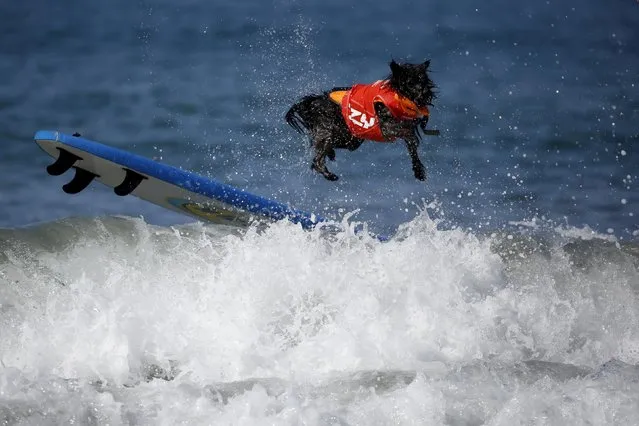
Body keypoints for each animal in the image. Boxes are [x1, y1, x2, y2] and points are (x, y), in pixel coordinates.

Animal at [288, 59, 438, 181]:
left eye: (423, 80)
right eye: (410, 83)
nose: (424, 93)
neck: (397, 93)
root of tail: (313, 102)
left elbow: (412, 146)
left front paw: (418, 171)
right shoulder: (387, 126)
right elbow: (410, 136)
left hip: (349, 137)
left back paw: (330, 154)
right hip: (332, 132)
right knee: (317, 161)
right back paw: (330, 175)